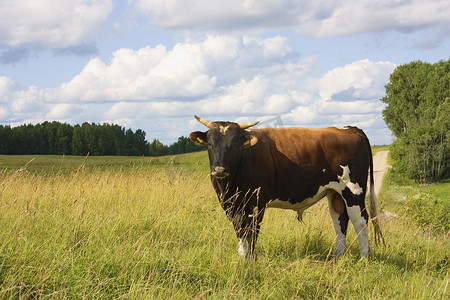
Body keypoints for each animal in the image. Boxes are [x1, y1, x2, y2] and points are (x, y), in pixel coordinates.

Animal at [190, 115, 384, 258]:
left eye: (234, 146)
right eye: (210, 144)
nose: (219, 169)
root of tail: (349, 128)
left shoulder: (256, 204)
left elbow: (251, 232)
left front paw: (251, 260)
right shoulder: (232, 205)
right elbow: (240, 231)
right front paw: (242, 257)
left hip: (353, 190)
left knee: (361, 221)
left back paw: (364, 257)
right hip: (335, 193)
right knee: (340, 220)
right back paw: (338, 256)